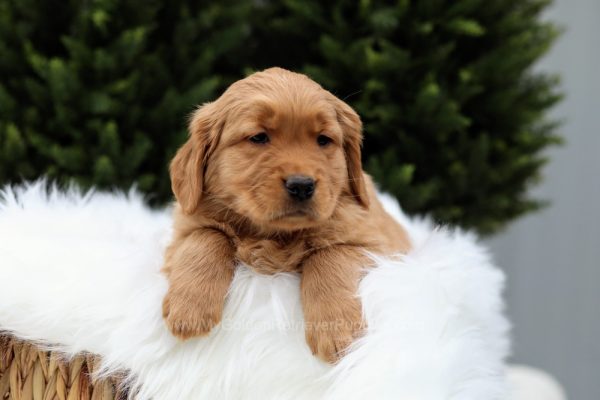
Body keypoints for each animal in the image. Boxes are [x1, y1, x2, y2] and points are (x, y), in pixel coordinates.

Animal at [162, 66, 410, 362]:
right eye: (259, 137)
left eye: (323, 140)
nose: (301, 185)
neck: (275, 235)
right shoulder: (184, 229)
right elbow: (207, 235)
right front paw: (189, 308)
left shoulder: (376, 245)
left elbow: (331, 254)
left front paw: (336, 331)